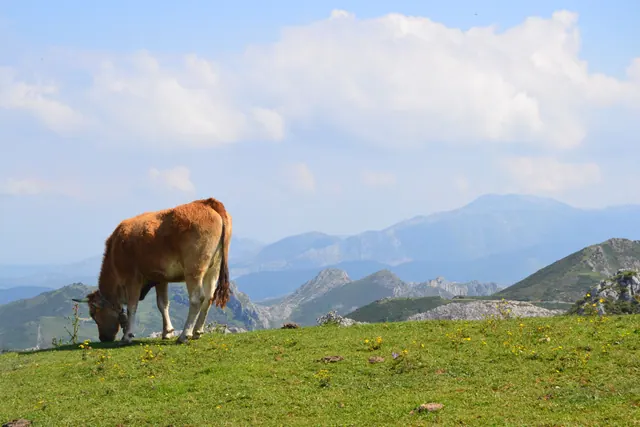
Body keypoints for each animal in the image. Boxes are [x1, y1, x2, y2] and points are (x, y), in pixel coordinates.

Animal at [72, 197, 232, 345]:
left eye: (93, 314)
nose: (103, 338)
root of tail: (207, 202)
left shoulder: (132, 278)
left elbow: (132, 306)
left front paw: (127, 336)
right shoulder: (160, 278)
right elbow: (163, 304)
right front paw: (167, 332)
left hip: (194, 269)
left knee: (197, 298)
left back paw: (185, 335)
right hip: (214, 269)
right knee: (209, 297)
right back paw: (197, 331)